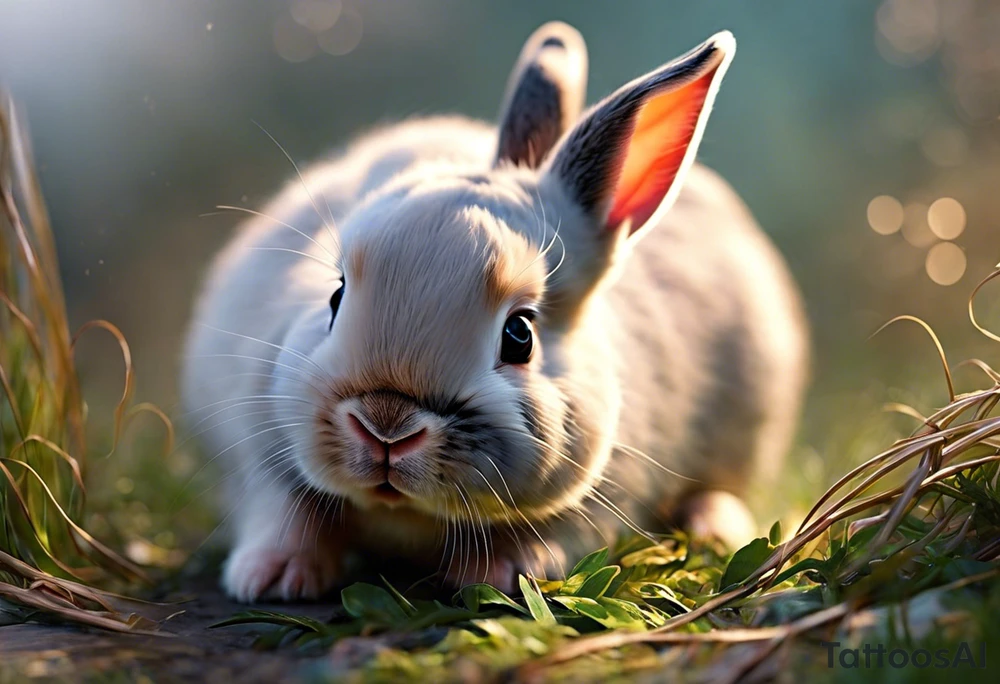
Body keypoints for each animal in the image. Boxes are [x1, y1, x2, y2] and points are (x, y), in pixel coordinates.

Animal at [181, 21, 809, 603]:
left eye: (520, 334)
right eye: (335, 297)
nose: (386, 426)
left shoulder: (606, 492)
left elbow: (554, 532)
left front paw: (496, 575)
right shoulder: (260, 444)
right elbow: (284, 507)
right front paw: (271, 576)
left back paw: (714, 525)